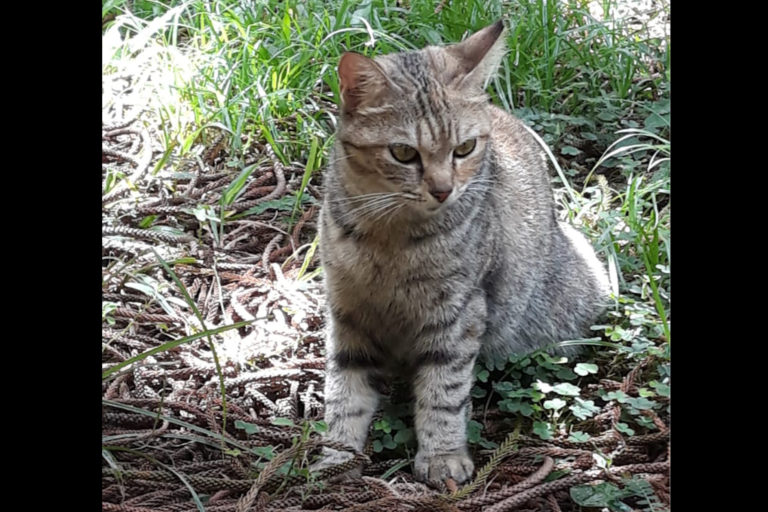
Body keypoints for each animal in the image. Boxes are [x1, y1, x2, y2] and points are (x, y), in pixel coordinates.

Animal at [316, 19, 608, 484]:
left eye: (464, 149)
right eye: (403, 152)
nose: (442, 189)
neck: (388, 236)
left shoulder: (458, 313)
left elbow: (444, 390)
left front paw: (442, 456)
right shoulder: (347, 308)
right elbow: (344, 390)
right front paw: (336, 453)